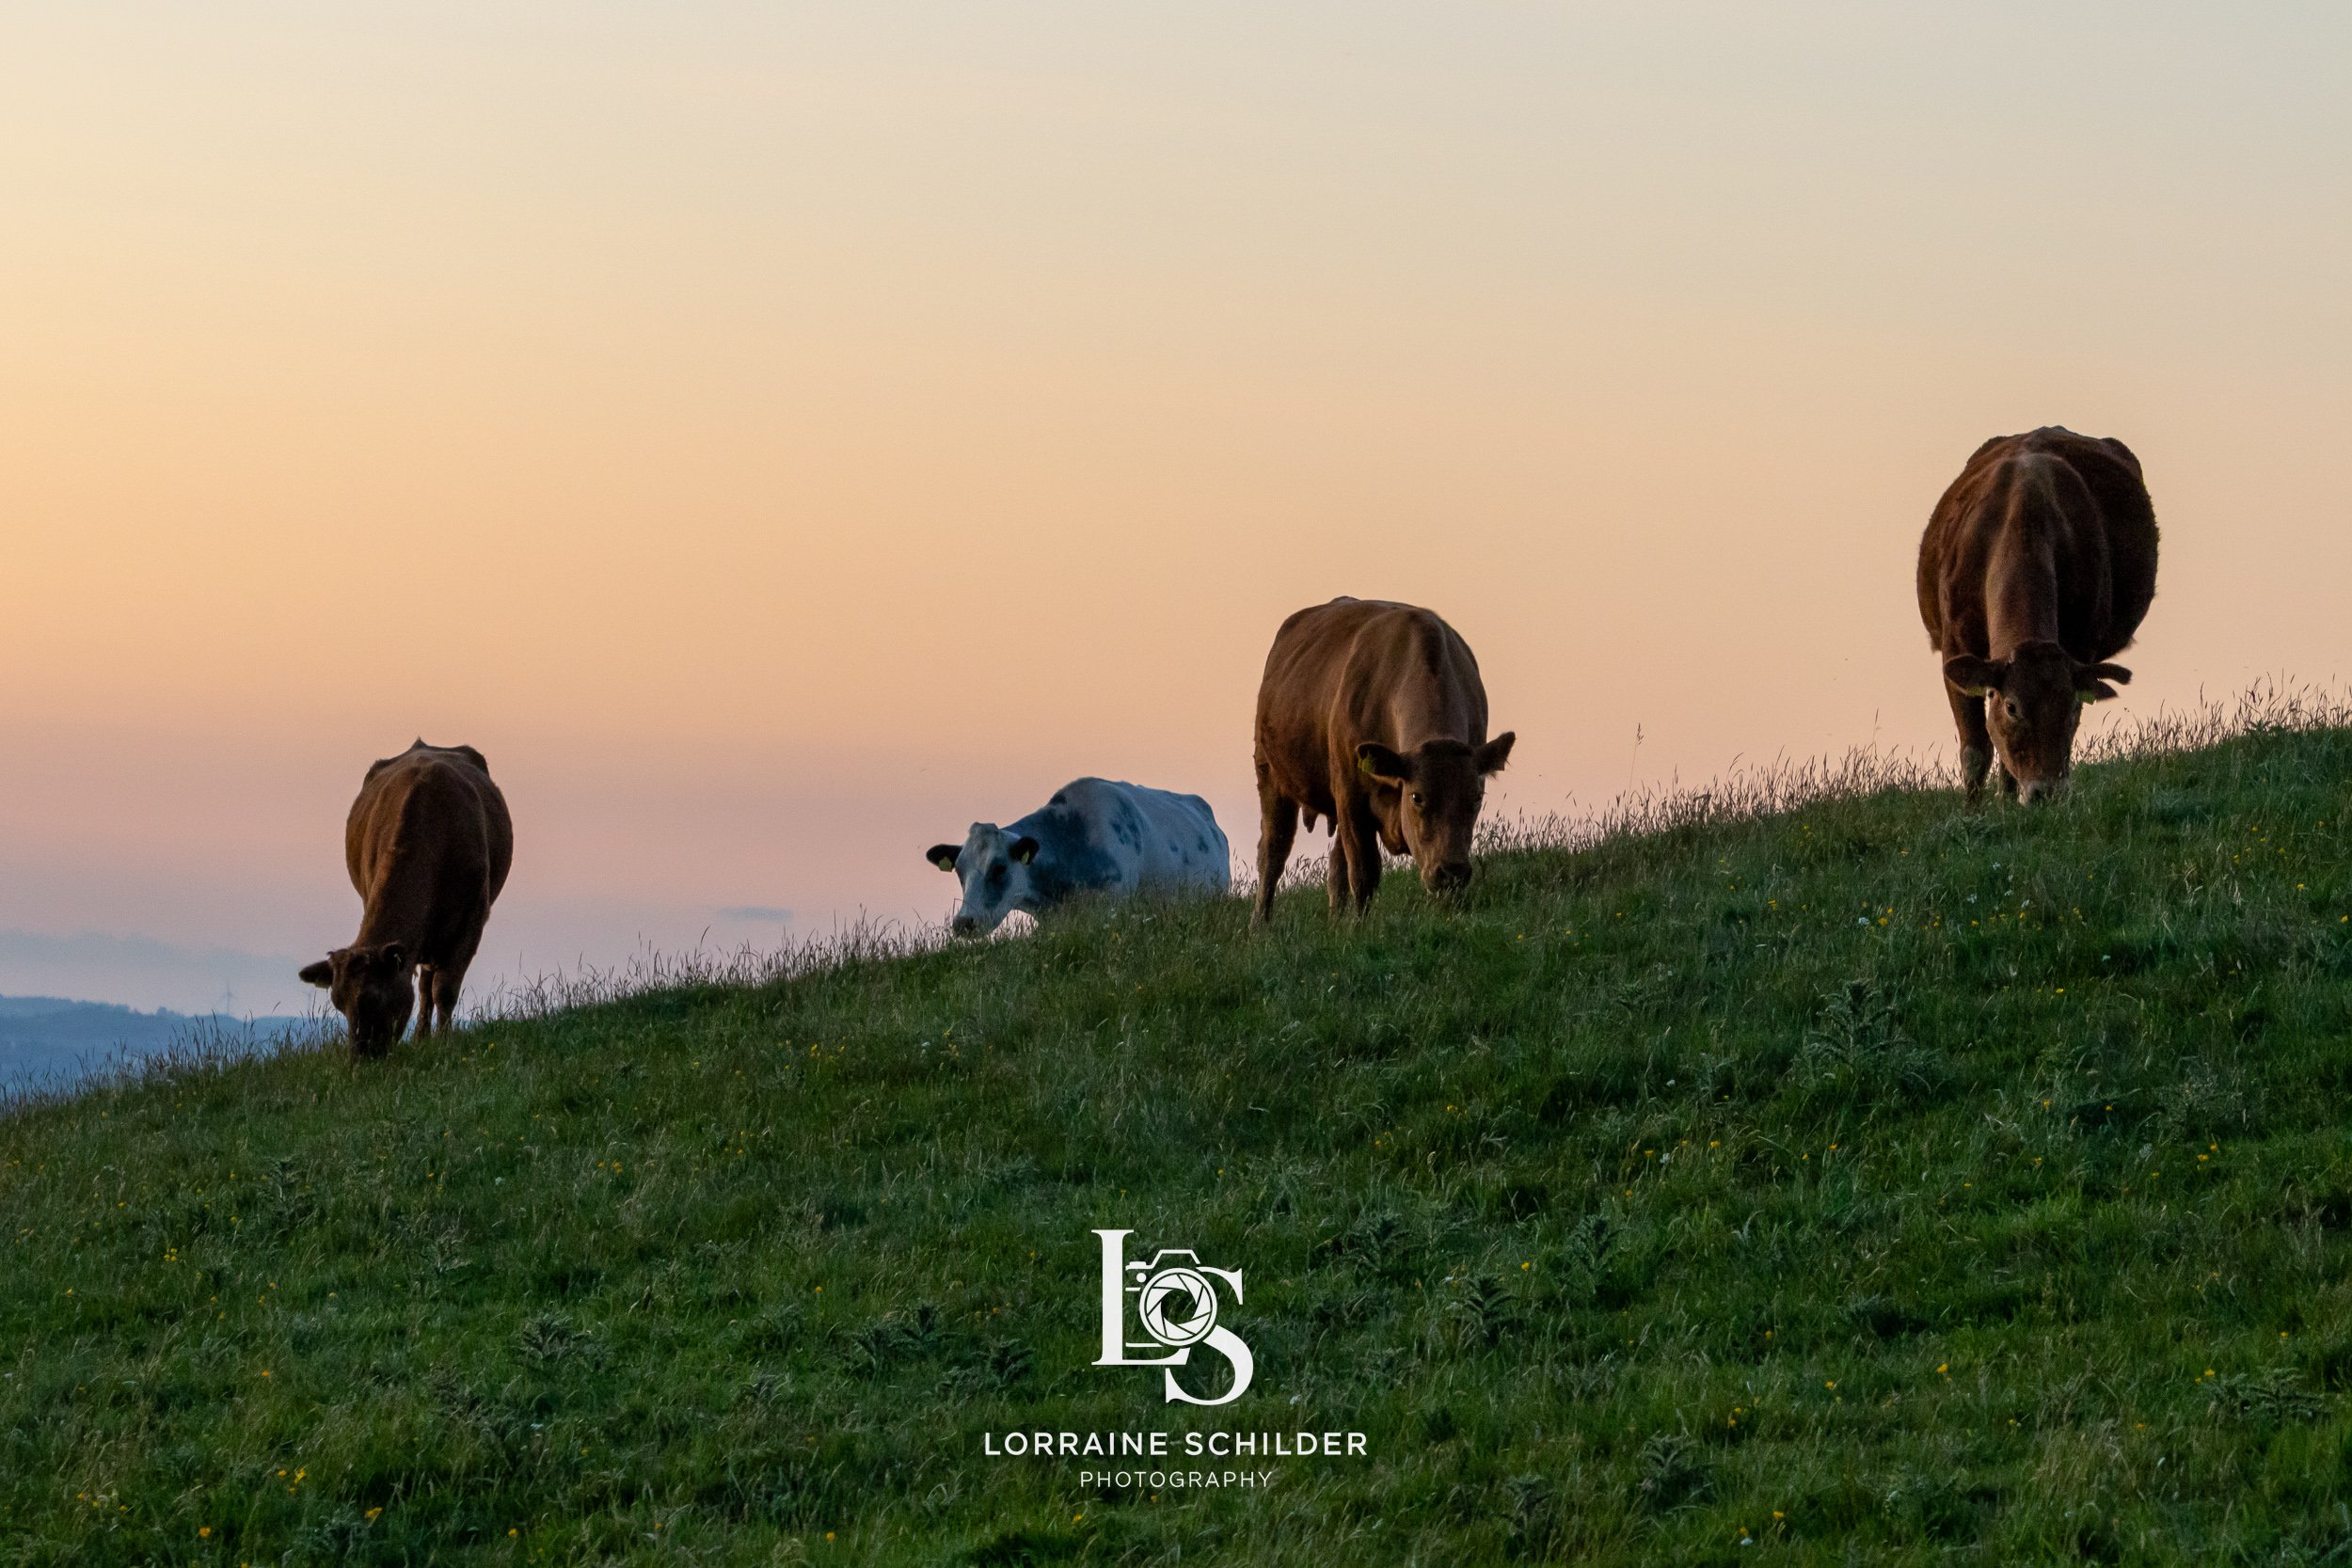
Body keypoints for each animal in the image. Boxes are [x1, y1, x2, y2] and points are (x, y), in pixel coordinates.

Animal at [300, 740, 514, 1056]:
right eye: (339, 1004)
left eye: (374, 997)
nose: (360, 1056)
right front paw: (424, 1040)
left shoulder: (472, 921)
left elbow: (445, 989)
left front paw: (444, 1042)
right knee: (425, 985)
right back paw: (420, 1037)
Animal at [1251, 596, 1515, 924]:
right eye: (1417, 797)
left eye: (1476, 797)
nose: (1451, 871)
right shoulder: (1351, 796)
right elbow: (1364, 873)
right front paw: (1360, 929)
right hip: (1271, 774)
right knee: (1273, 852)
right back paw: (1260, 925)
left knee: (1335, 867)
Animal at [1917, 427, 2159, 804]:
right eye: (2013, 707)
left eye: (2071, 707)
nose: (2046, 792)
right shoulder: (1955, 643)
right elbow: (1975, 749)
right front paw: (1971, 811)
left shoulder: (2081, 644)